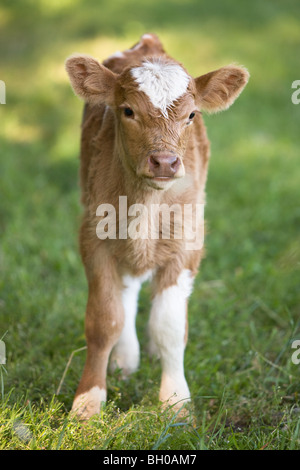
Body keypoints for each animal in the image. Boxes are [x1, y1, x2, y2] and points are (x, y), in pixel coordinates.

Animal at [65, 34, 248, 422]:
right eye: (128, 111)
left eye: (192, 115)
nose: (164, 161)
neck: (147, 206)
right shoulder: (93, 238)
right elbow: (104, 321)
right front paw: (87, 403)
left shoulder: (187, 244)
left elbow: (169, 327)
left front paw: (176, 403)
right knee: (126, 291)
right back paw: (125, 358)